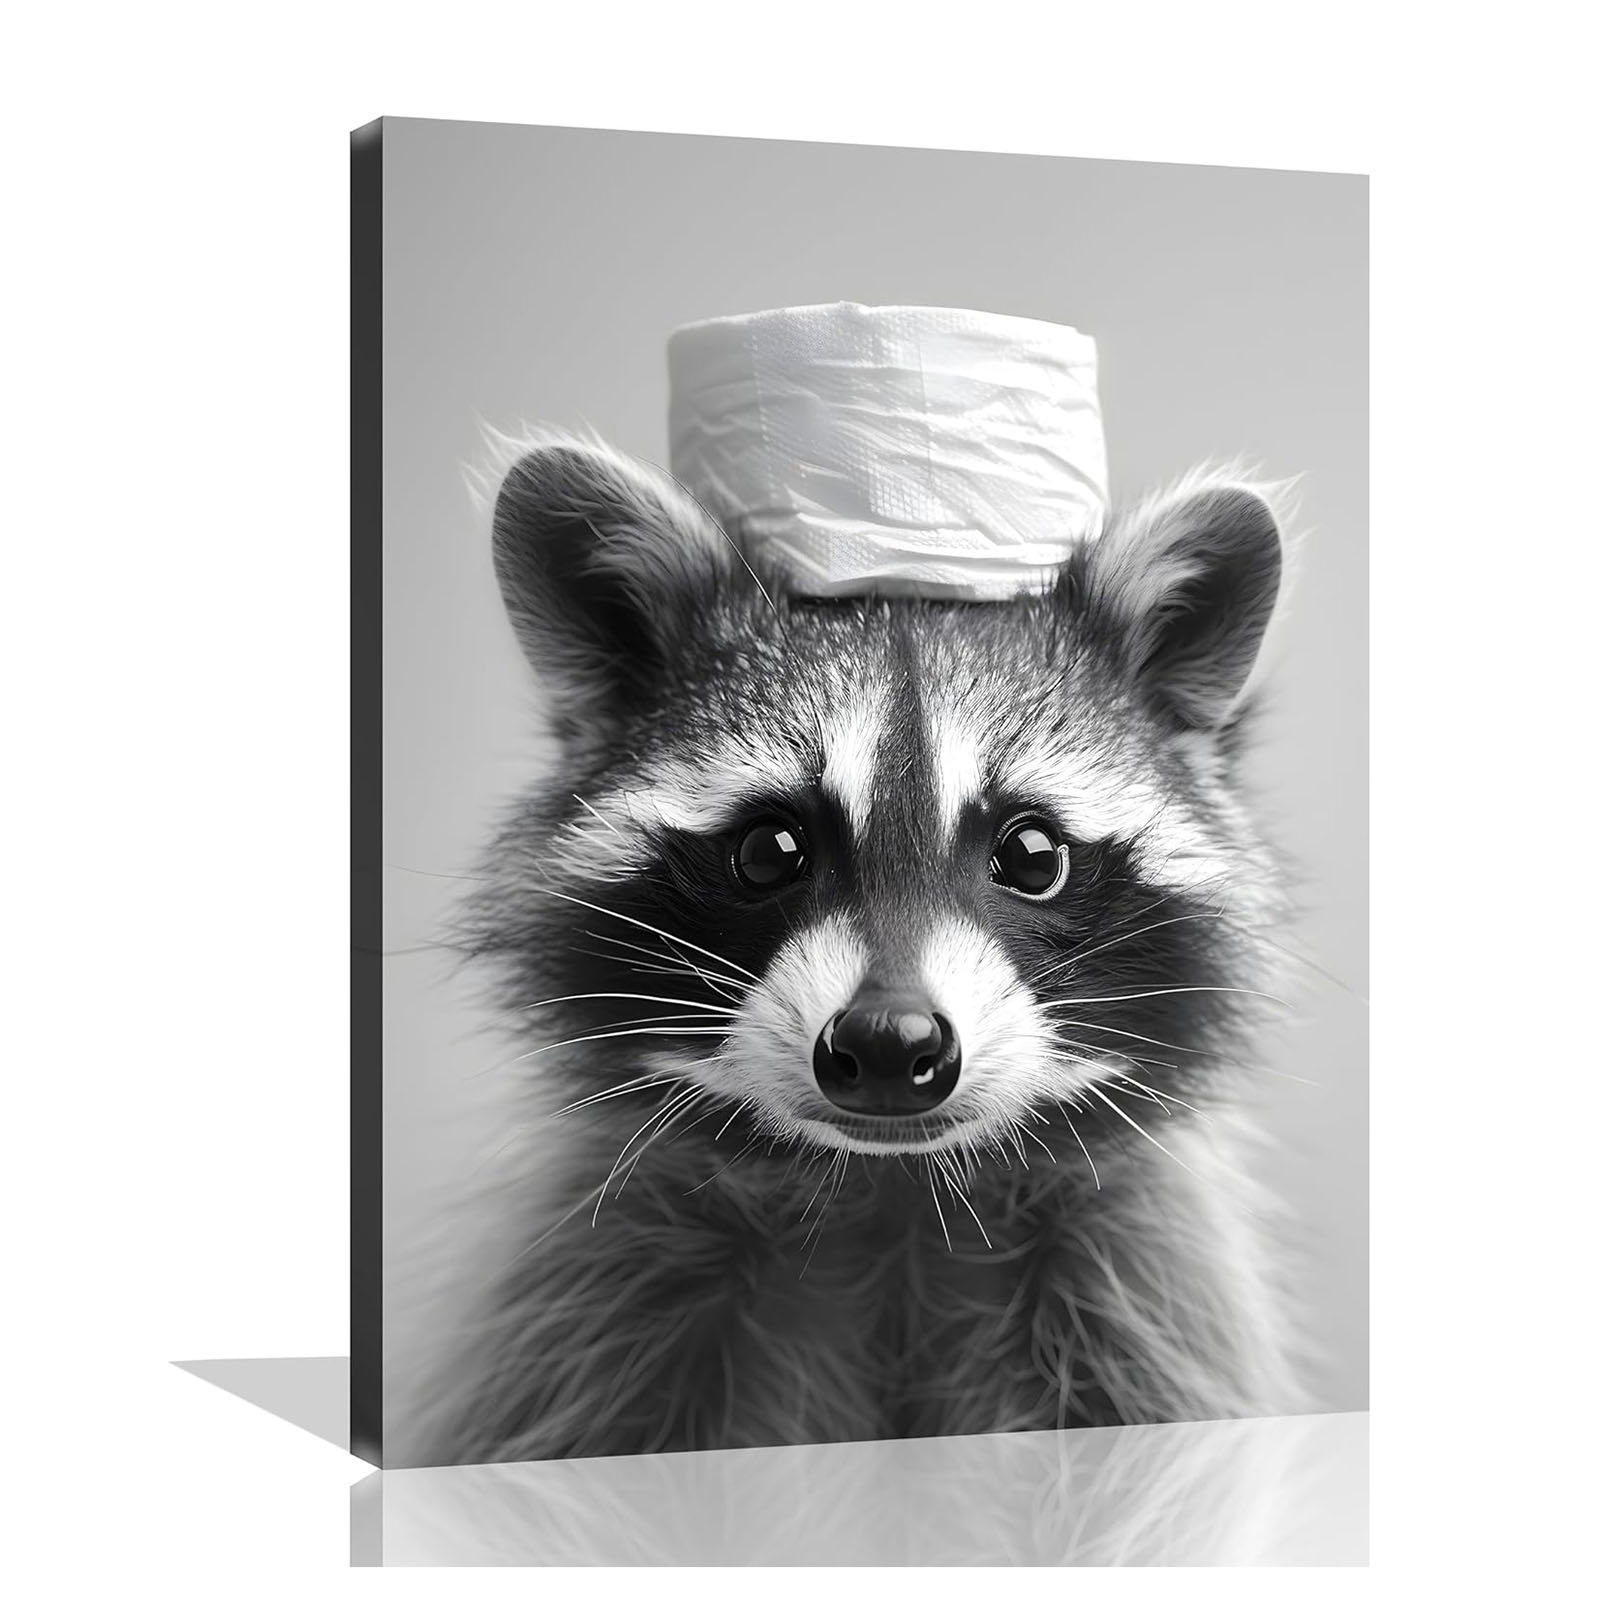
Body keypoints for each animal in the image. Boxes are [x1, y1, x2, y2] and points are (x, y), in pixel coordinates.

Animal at [421, 431, 1305, 1465]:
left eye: (1032, 855)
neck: (891, 1193)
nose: (891, 1043)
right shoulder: (597, 1308)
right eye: (770, 850)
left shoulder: (1138, 1300)